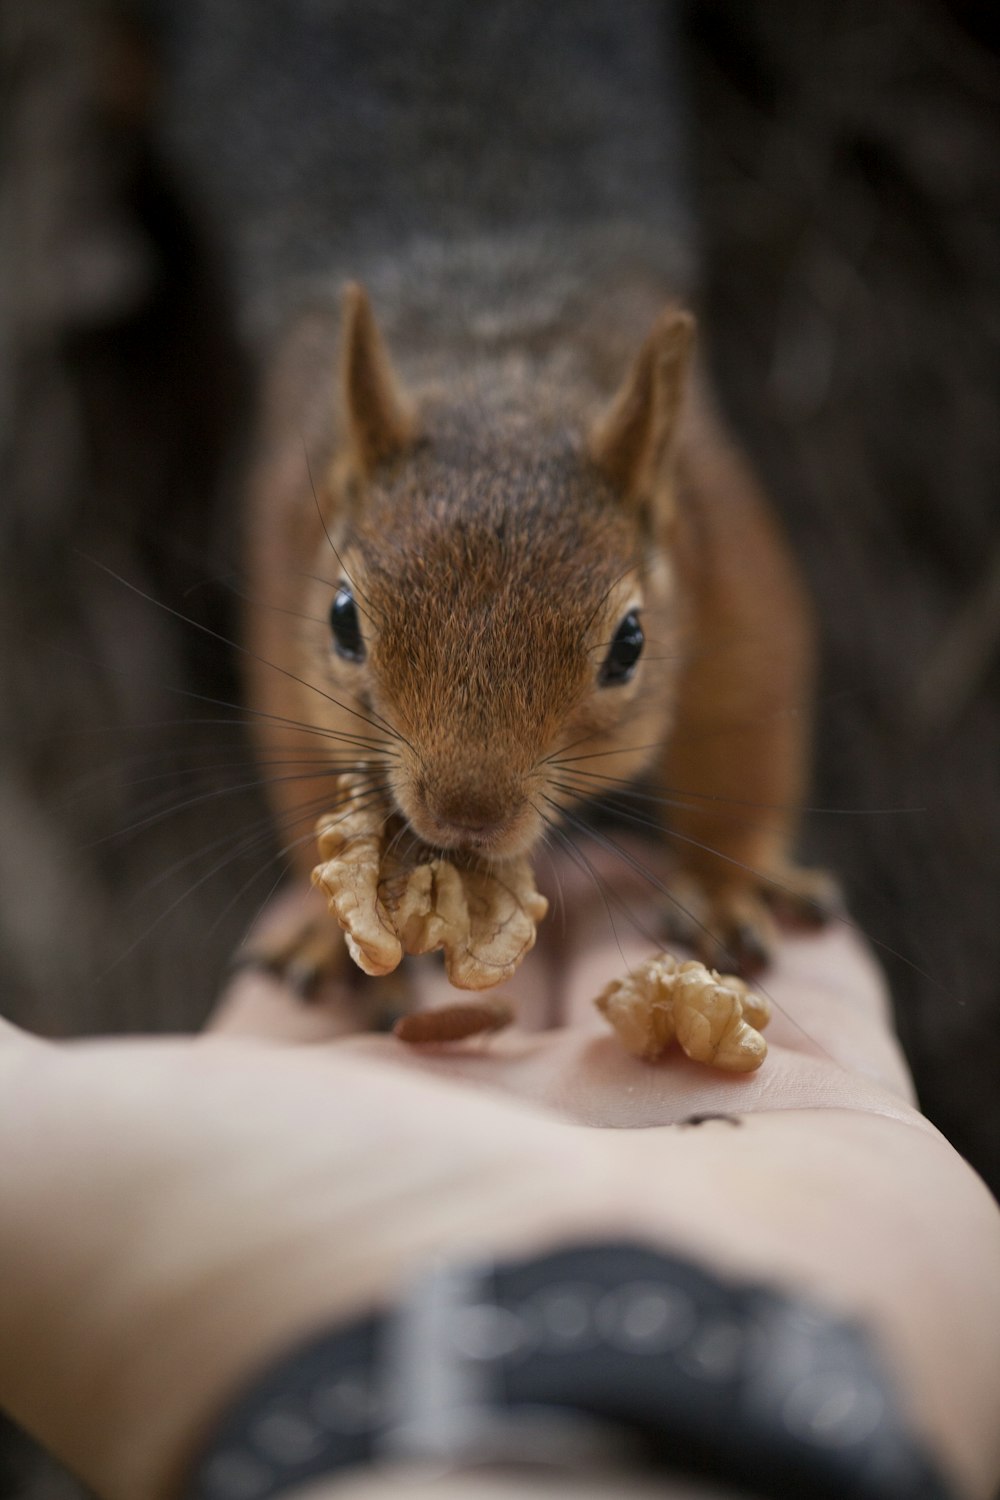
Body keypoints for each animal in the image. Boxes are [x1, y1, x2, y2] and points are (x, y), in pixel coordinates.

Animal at [242, 228, 839, 1008]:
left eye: (630, 645)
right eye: (341, 619)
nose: (466, 815)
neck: (503, 378)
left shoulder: (729, 552)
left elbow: (747, 727)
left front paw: (720, 886)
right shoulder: (285, 561)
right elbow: (298, 755)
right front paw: (325, 930)